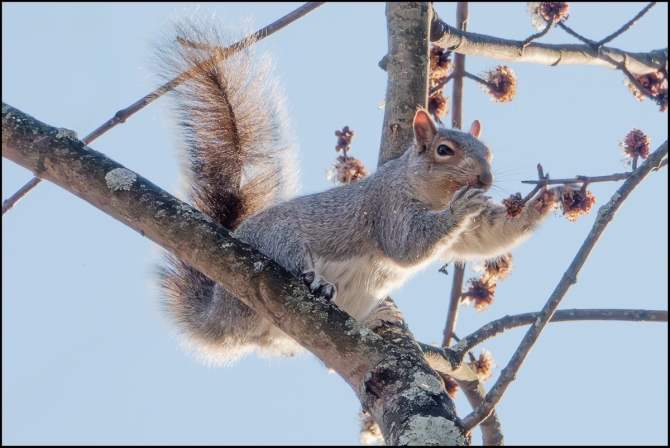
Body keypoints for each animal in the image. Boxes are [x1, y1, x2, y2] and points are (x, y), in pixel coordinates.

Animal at [153, 16, 559, 366]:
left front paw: (543, 202)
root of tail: (218, 315)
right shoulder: (388, 206)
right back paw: (316, 282)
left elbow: (488, 236)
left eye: (488, 151)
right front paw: (461, 209)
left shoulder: (470, 233)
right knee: (289, 258)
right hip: (275, 240)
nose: (485, 180)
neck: (431, 194)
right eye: (444, 151)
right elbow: (405, 245)